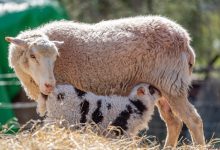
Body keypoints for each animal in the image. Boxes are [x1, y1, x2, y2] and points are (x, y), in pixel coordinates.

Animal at [5, 15, 205, 148]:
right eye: (32, 56)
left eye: (56, 57)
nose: (49, 85)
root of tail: (186, 41)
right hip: (162, 88)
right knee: (174, 122)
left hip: (172, 84)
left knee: (193, 120)